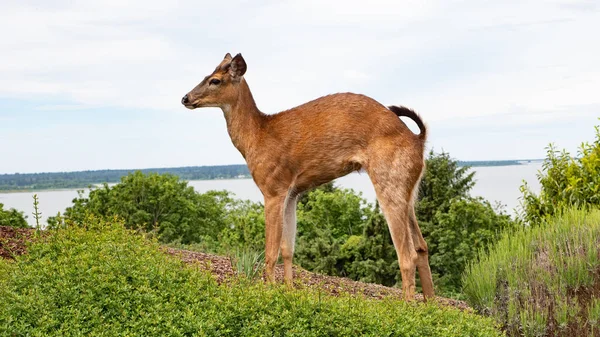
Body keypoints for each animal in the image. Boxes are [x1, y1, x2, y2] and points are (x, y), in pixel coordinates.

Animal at [180, 52, 434, 300]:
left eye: (215, 80)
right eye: (206, 75)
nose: (185, 98)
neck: (256, 137)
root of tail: (418, 140)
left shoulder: (273, 187)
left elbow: (271, 250)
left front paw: (268, 291)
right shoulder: (292, 192)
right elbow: (287, 248)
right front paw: (289, 289)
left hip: (388, 180)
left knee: (407, 254)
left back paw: (406, 306)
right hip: (408, 191)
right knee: (421, 246)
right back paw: (429, 304)